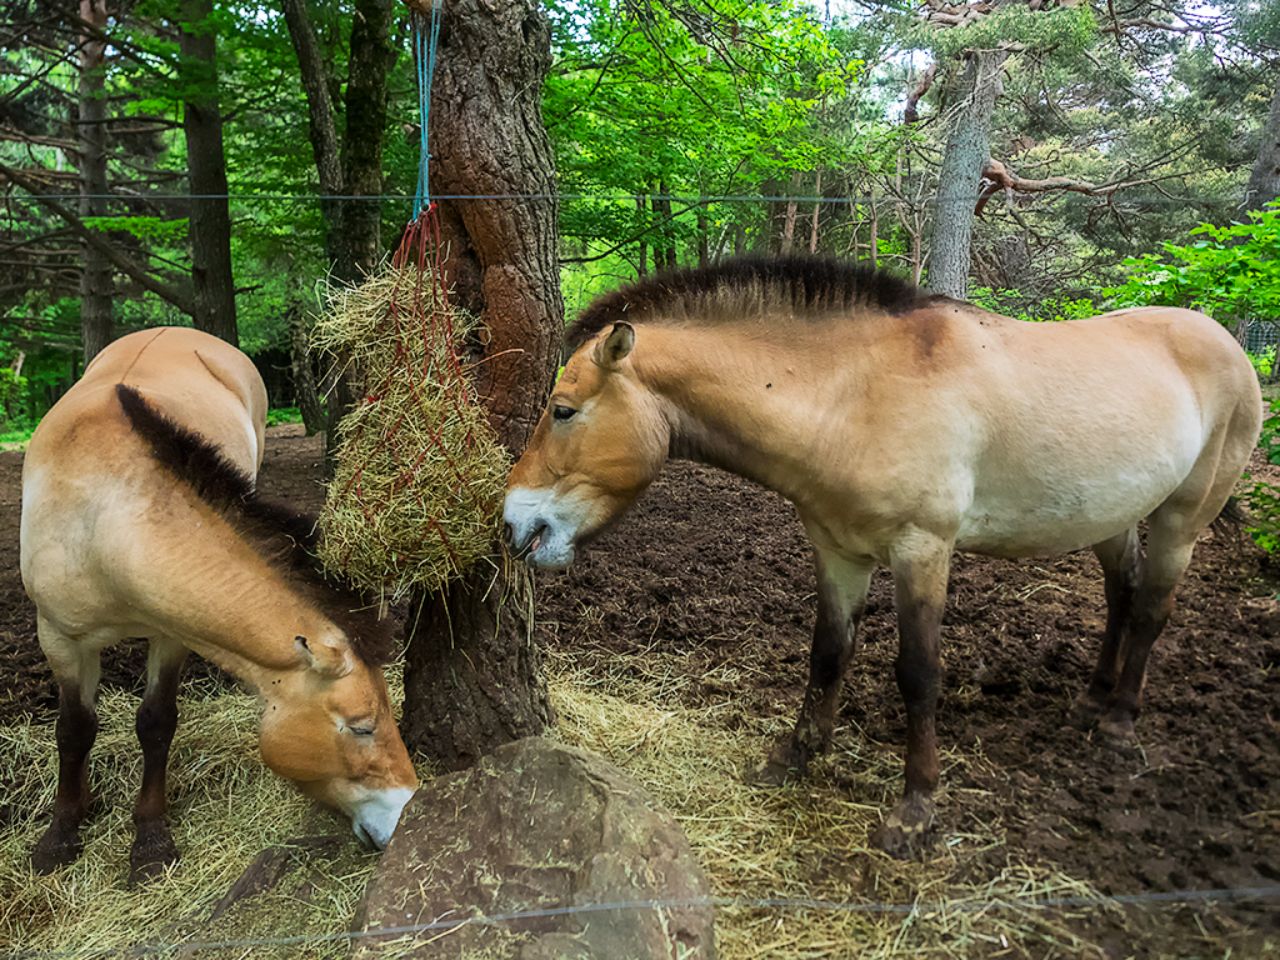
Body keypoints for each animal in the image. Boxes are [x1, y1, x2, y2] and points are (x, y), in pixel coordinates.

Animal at [20, 327, 418, 883]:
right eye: (362, 726)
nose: (406, 810)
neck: (105, 518)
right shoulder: (58, 636)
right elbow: (74, 729)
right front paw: (60, 835)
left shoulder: (171, 633)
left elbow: (156, 722)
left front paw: (150, 841)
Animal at [503, 255, 1262, 857]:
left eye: (563, 410)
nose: (513, 522)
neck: (853, 396)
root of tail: (1227, 342)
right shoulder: (838, 550)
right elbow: (828, 653)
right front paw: (795, 756)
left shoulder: (922, 550)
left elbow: (918, 673)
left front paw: (916, 809)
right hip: (1111, 515)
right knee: (1121, 594)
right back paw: (1093, 699)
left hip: (1182, 519)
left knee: (1154, 609)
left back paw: (1119, 721)